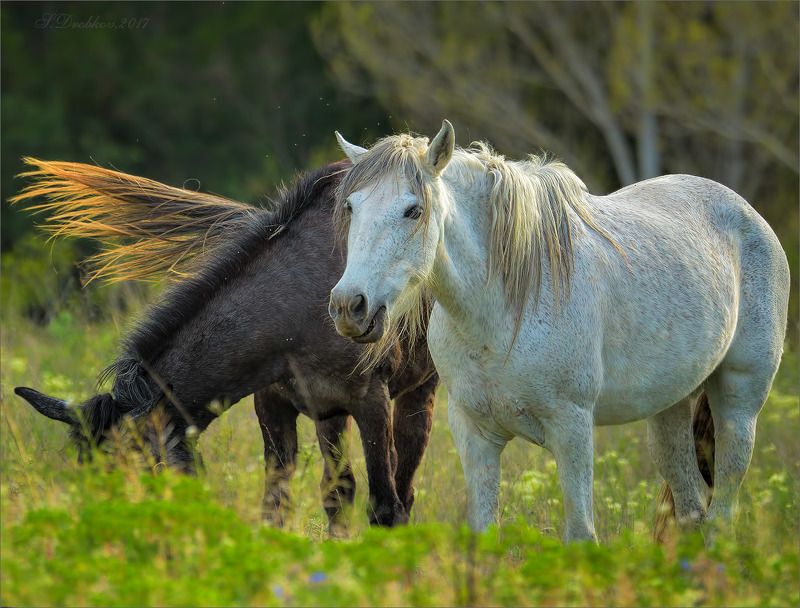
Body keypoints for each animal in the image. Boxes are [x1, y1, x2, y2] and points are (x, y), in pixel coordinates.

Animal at [11, 158, 438, 532]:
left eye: (147, 471)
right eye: (86, 472)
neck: (295, 313)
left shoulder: (371, 400)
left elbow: (386, 508)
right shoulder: (276, 403)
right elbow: (280, 504)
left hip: (419, 391)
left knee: (404, 489)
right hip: (330, 415)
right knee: (341, 490)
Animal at [328, 121, 790, 543]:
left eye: (414, 210)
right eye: (351, 207)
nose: (350, 306)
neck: (501, 315)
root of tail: (747, 214)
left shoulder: (572, 430)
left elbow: (581, 535)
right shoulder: (474, 433)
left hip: (739, 405)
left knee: (721, 514)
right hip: (668, 408)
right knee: (691, 510)